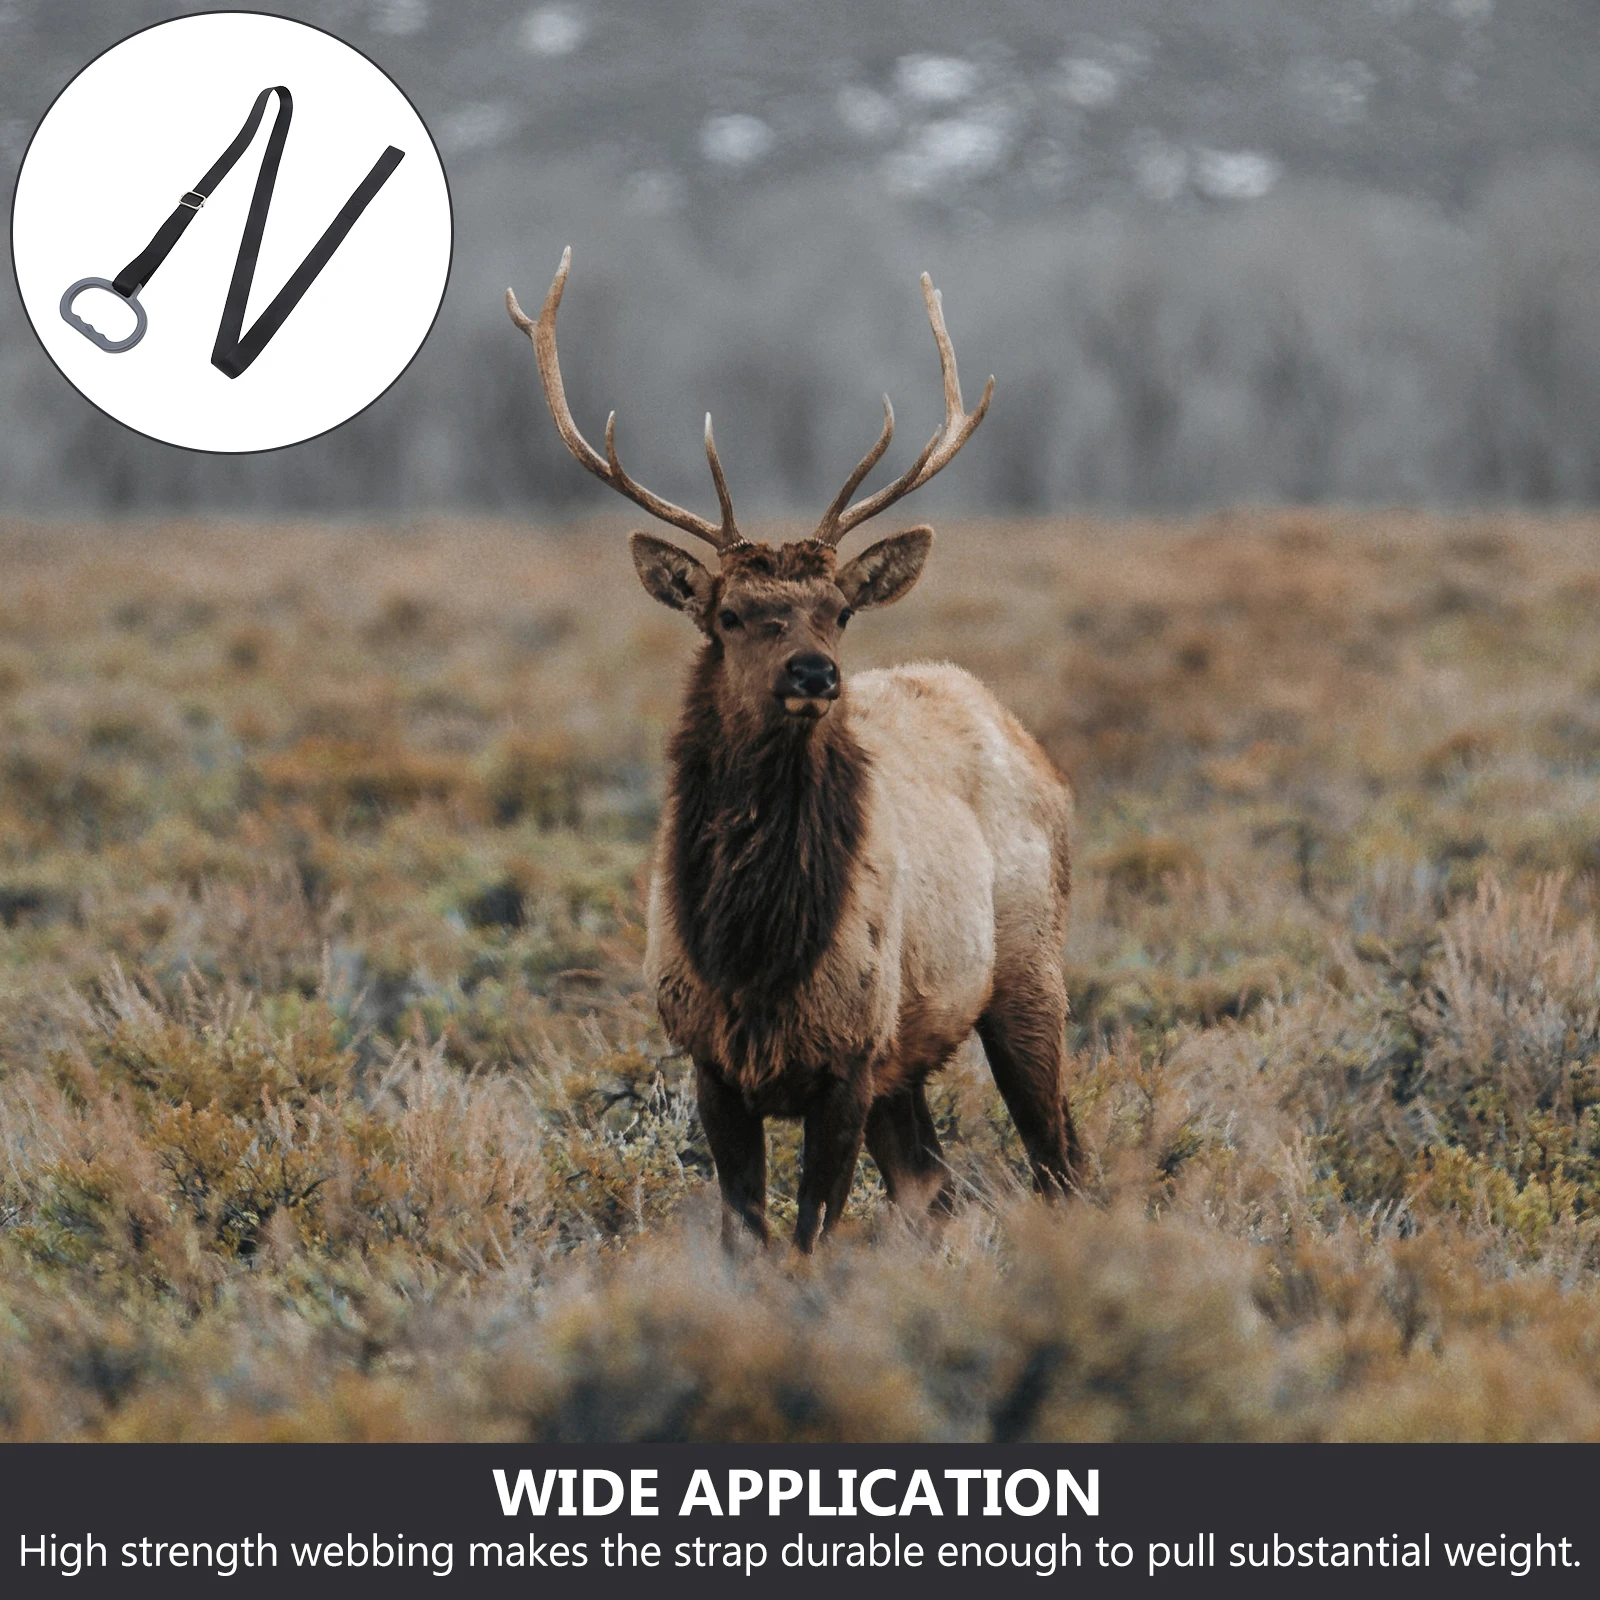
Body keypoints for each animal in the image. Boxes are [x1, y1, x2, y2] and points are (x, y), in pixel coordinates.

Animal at [507, 249, 1079, 1252]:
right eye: (731, 613)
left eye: (839, 610)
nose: (816, 674)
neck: (756, 955)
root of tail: (1029, 745)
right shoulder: (710, 1062)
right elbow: (750, 1239)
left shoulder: (848, 1056)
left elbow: (809, 1237)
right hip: (912, 1053)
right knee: (937, 1188)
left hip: (1028, 972)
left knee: (1061, 1161)